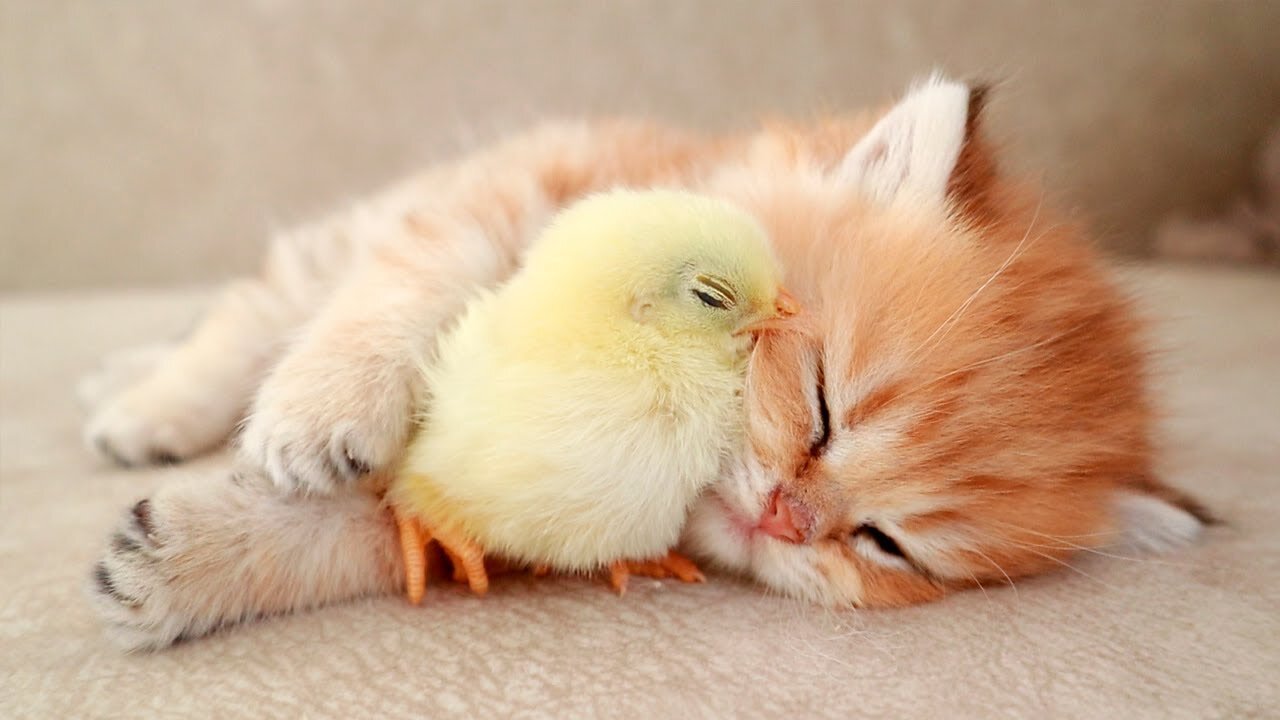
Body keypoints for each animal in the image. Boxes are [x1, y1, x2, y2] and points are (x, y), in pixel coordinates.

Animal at [85, 75, 1203, 648]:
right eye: (822, 405)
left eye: (887, 545)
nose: (785, 519)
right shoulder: (516, 202)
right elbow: (410, 284)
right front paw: (325, 408)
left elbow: (375, 536)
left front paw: (187, 565)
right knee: (258, 306)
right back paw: (144, 403)